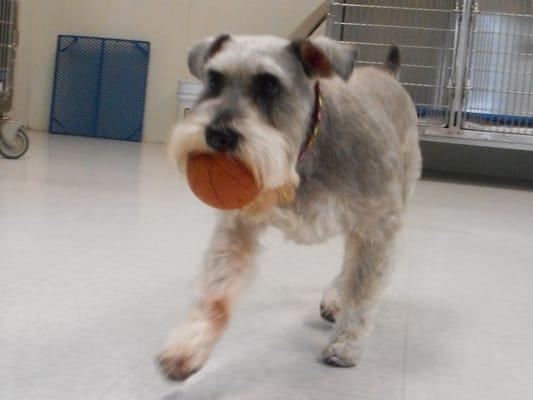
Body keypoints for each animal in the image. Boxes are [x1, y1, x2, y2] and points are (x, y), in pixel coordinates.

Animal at [158, 35, 420, 382]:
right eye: (214, 80)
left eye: (269, 84)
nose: (216, 134)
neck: (303, 152)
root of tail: (387, 73)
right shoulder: (238, 226)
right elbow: (217, 290)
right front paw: (189, 345)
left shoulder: (377, 227)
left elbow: (361, 292)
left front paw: (346, 343)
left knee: (351, 268)